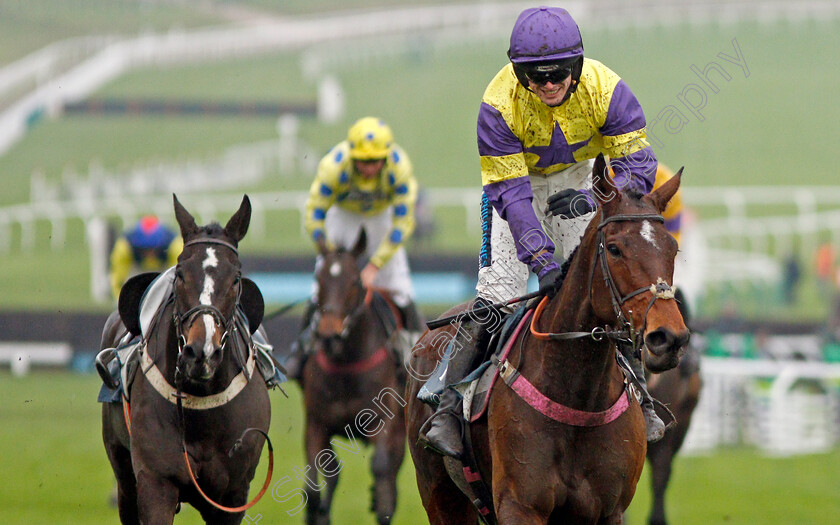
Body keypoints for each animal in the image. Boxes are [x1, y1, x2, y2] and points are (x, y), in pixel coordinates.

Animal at [100, 194, 272, 520]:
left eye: (236, 278)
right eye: (180, 273)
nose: (201, 352)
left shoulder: (232, 494)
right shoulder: (156, 482)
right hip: (123, 472)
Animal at [302, 230, 406, 524]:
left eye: (354, 281)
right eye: (319, 279)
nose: (329, 335)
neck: (346, 361)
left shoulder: (384, 421)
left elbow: (382, 470)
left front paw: (380, 501)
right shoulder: (316, 422)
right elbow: (313, 483)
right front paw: (317, 511)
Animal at [406, 155, 688, 524]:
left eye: (673, 249)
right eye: (614, 249)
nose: (669, 337)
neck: (579, 397)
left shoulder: (610, 511)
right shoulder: (520, 506)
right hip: (441, 497)